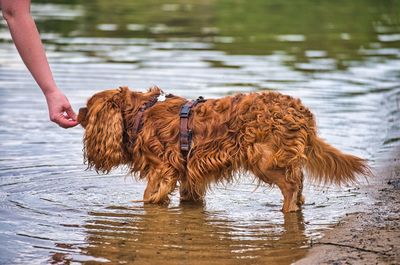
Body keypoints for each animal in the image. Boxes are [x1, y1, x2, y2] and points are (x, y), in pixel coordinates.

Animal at [77, 85, 368, 211]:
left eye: (88, 107)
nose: (77, 112)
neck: (141, 113)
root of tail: (300, 111)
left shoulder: (162, 169)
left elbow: (150, 196)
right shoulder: (188, 173)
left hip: (264, 160)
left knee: (290, 186)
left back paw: (286, 209)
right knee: (299, 182)